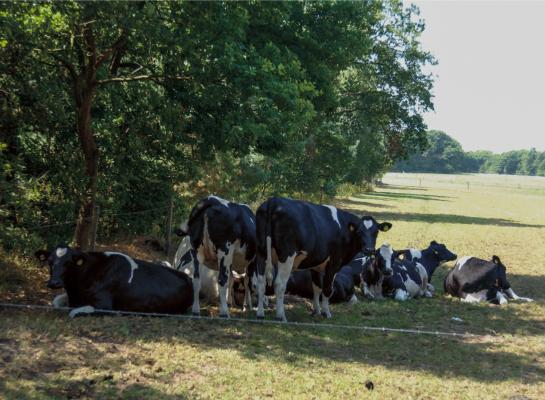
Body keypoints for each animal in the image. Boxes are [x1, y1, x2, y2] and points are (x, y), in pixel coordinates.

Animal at [255, 197, 392, 322]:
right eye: (359, 231)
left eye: (376, 232)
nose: (369, 249)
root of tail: (273, 201)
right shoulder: (333, 263)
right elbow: (327, 289)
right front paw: (327, 313)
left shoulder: (314, 264)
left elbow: (317, 288)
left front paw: (317, 311)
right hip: (286, 255)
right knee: (279, 283)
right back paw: (281, 316)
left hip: (261, 253)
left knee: (261, 281)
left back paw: (260, 313)